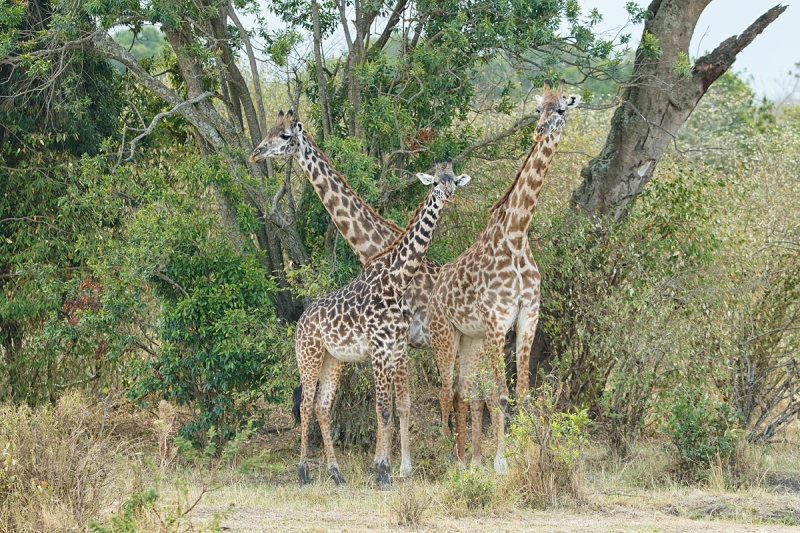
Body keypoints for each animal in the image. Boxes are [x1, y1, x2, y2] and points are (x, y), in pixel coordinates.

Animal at [284, 157, 468, 486]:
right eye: (435, 182)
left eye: (453, 180)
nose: (448, 195)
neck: (395, 280)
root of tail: (301, 321)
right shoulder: (381, 348)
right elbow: (383, 407)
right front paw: (384, 472)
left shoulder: (395, 347)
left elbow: (389, 407)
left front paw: (385, 468)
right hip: (309, 355)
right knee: (305, 405)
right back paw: (303, 473)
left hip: (334, 360)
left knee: (322, 406)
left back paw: (337, 475)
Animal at [428, 78, 580, 470]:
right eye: (537, 108)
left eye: (561, 108)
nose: (540, 130)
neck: (516, 234)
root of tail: (433, 292)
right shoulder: (498, 320)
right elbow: (500, 394)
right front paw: (501, 462)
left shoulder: (528, 315)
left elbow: (522, 394)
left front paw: (530, 455)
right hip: (444, 334)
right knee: (445, 391)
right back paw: (449, 459)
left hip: (470, 338)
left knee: (462, 391)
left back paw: (465, 460)